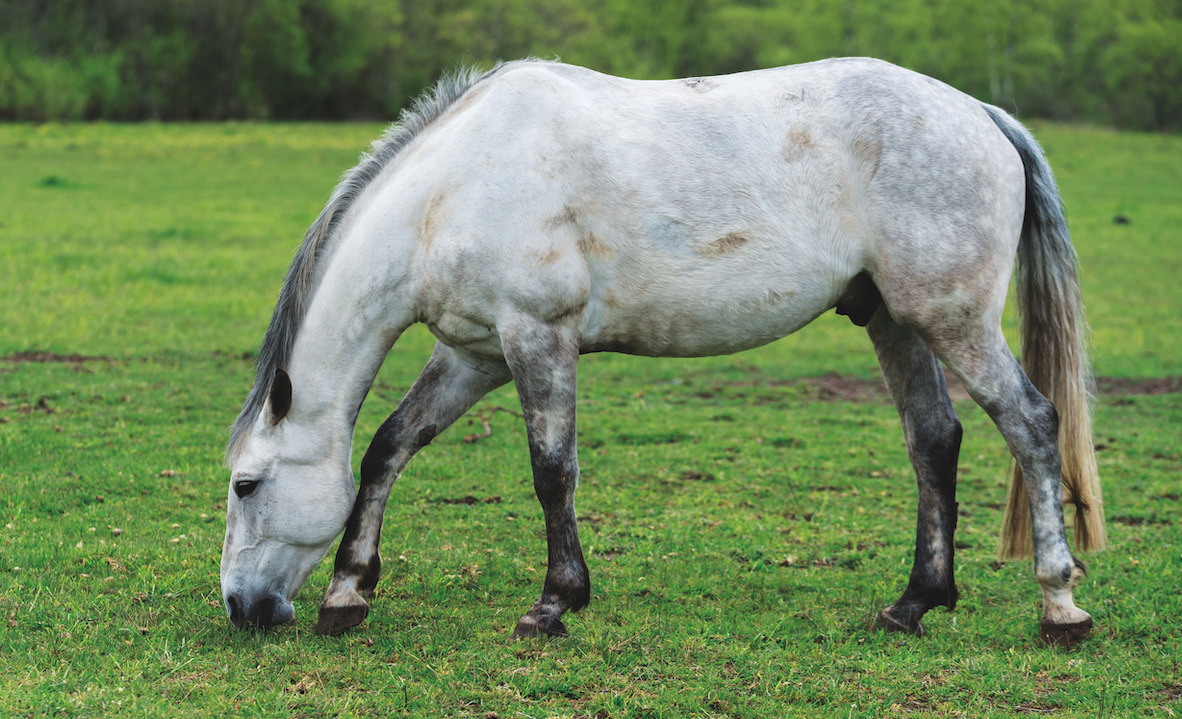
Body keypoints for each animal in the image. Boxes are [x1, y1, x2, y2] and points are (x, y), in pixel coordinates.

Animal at [220, 57, 1105, 647]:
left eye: (246, 484)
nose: (240, 606)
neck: (451, 190)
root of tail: (982, 113)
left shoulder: (537, 337)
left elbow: (552, 472)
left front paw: (554, 603)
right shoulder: (479, 354)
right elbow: (387, 446)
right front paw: (347, 591)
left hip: (954, 320)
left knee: (1031, 422)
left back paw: (1059, 605)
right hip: (894, 319)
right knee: (935, 441)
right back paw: (914, 602)